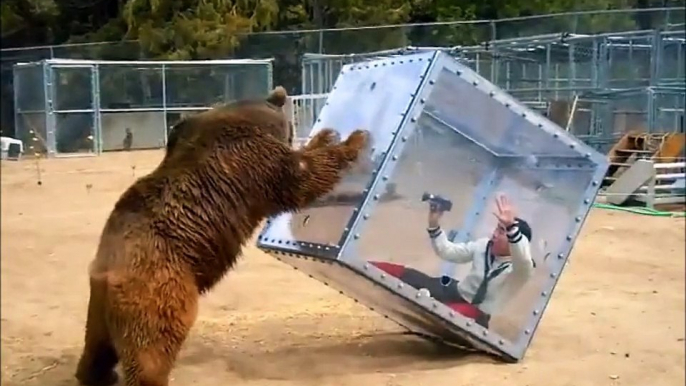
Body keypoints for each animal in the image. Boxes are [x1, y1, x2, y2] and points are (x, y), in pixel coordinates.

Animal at [75, 86, 370, 384]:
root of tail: (107, 271)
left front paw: (327, 134)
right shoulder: (254, 160)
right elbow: (301, 177)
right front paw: (355, 139)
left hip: (101, 305)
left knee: (98, 344)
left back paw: (97, 374)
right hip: (160, 287)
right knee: (152, 347)